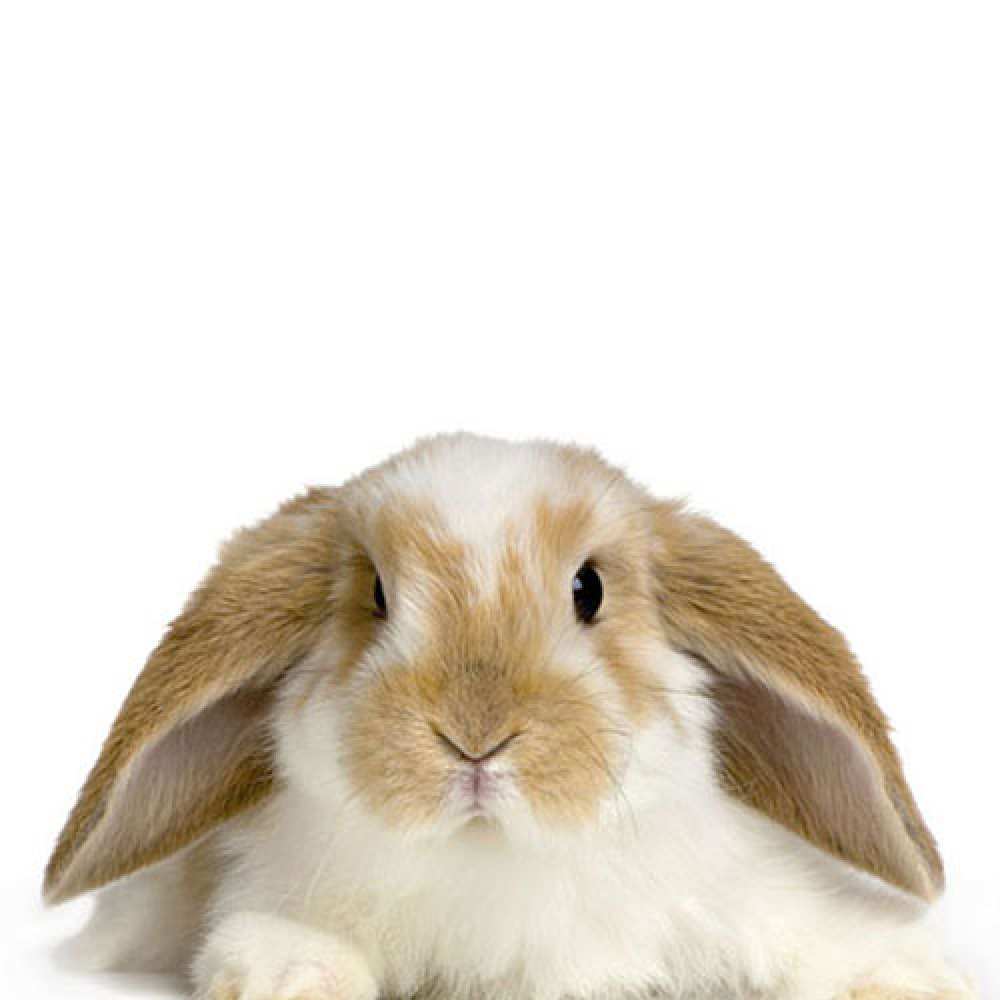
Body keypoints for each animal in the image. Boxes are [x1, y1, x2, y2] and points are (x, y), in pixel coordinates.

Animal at [45, 434, 975, 1000]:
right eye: (376, 595)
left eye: (589, 589)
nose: (475, 736)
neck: (495, 857)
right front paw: (292, 976)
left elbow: (816, 937)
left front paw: (910, 978)